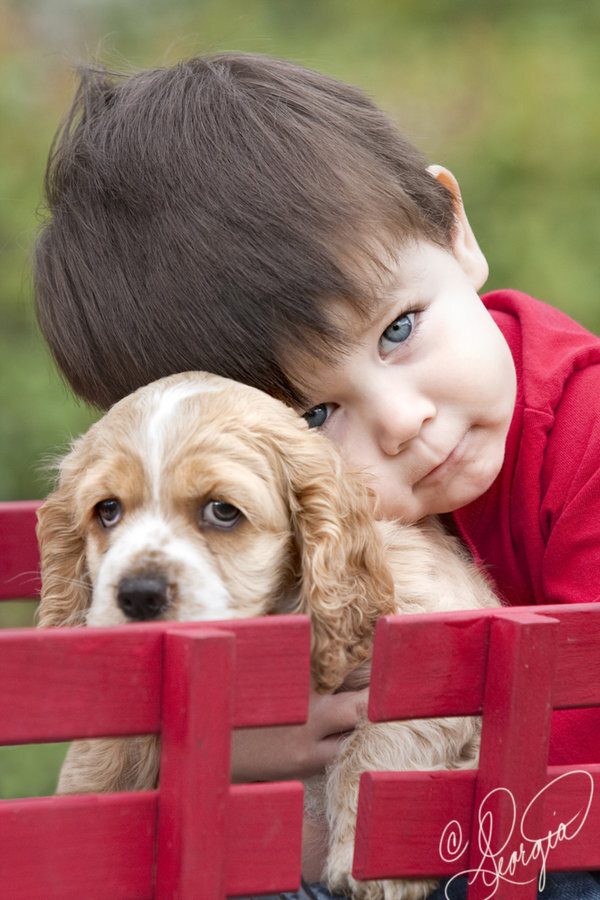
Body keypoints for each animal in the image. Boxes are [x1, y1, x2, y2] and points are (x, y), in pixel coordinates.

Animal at [35, 370, 500, 896]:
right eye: (107, 510)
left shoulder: (430, 652)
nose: (138, 595)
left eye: (222, 511)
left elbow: (378, 750)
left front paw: (364, 864)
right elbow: (98, 760)